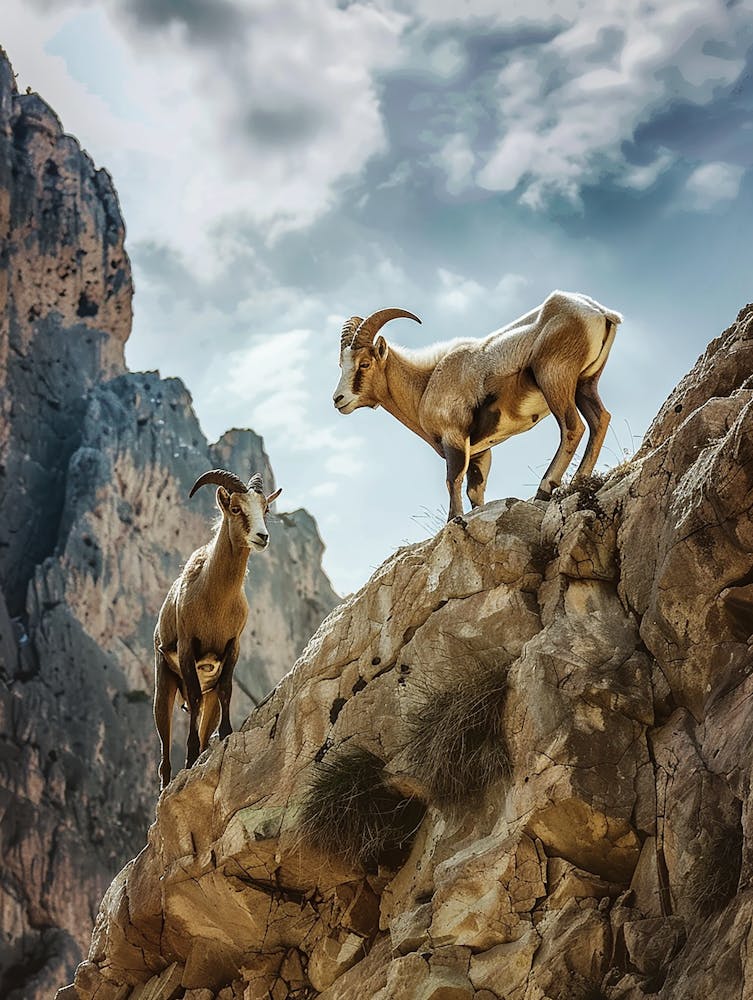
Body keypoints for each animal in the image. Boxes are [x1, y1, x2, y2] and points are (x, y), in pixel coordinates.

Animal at [153, 469, 282, 789]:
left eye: (265, 509)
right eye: (235, 508)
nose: (262, 537)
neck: (214, 600)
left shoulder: (233, 646)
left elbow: (225, 690)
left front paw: (225, 735)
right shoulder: (188, 647)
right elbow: (195, 698)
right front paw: (190, 758)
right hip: (164, 684)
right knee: (165, 745)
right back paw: (168, 784)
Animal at [332, 291, 622, 520]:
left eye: (364, 363)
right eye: (341, 365)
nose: (338, 400)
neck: (427, 382)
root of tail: (601, 314)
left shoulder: (454, 439)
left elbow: (452, 480)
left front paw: (454, 519)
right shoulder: (481, 451)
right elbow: (475, 491)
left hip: (555, 379)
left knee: (572, 427)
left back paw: (544, 488)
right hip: (585, 383)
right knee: (600, 419)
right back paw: (579, 480)